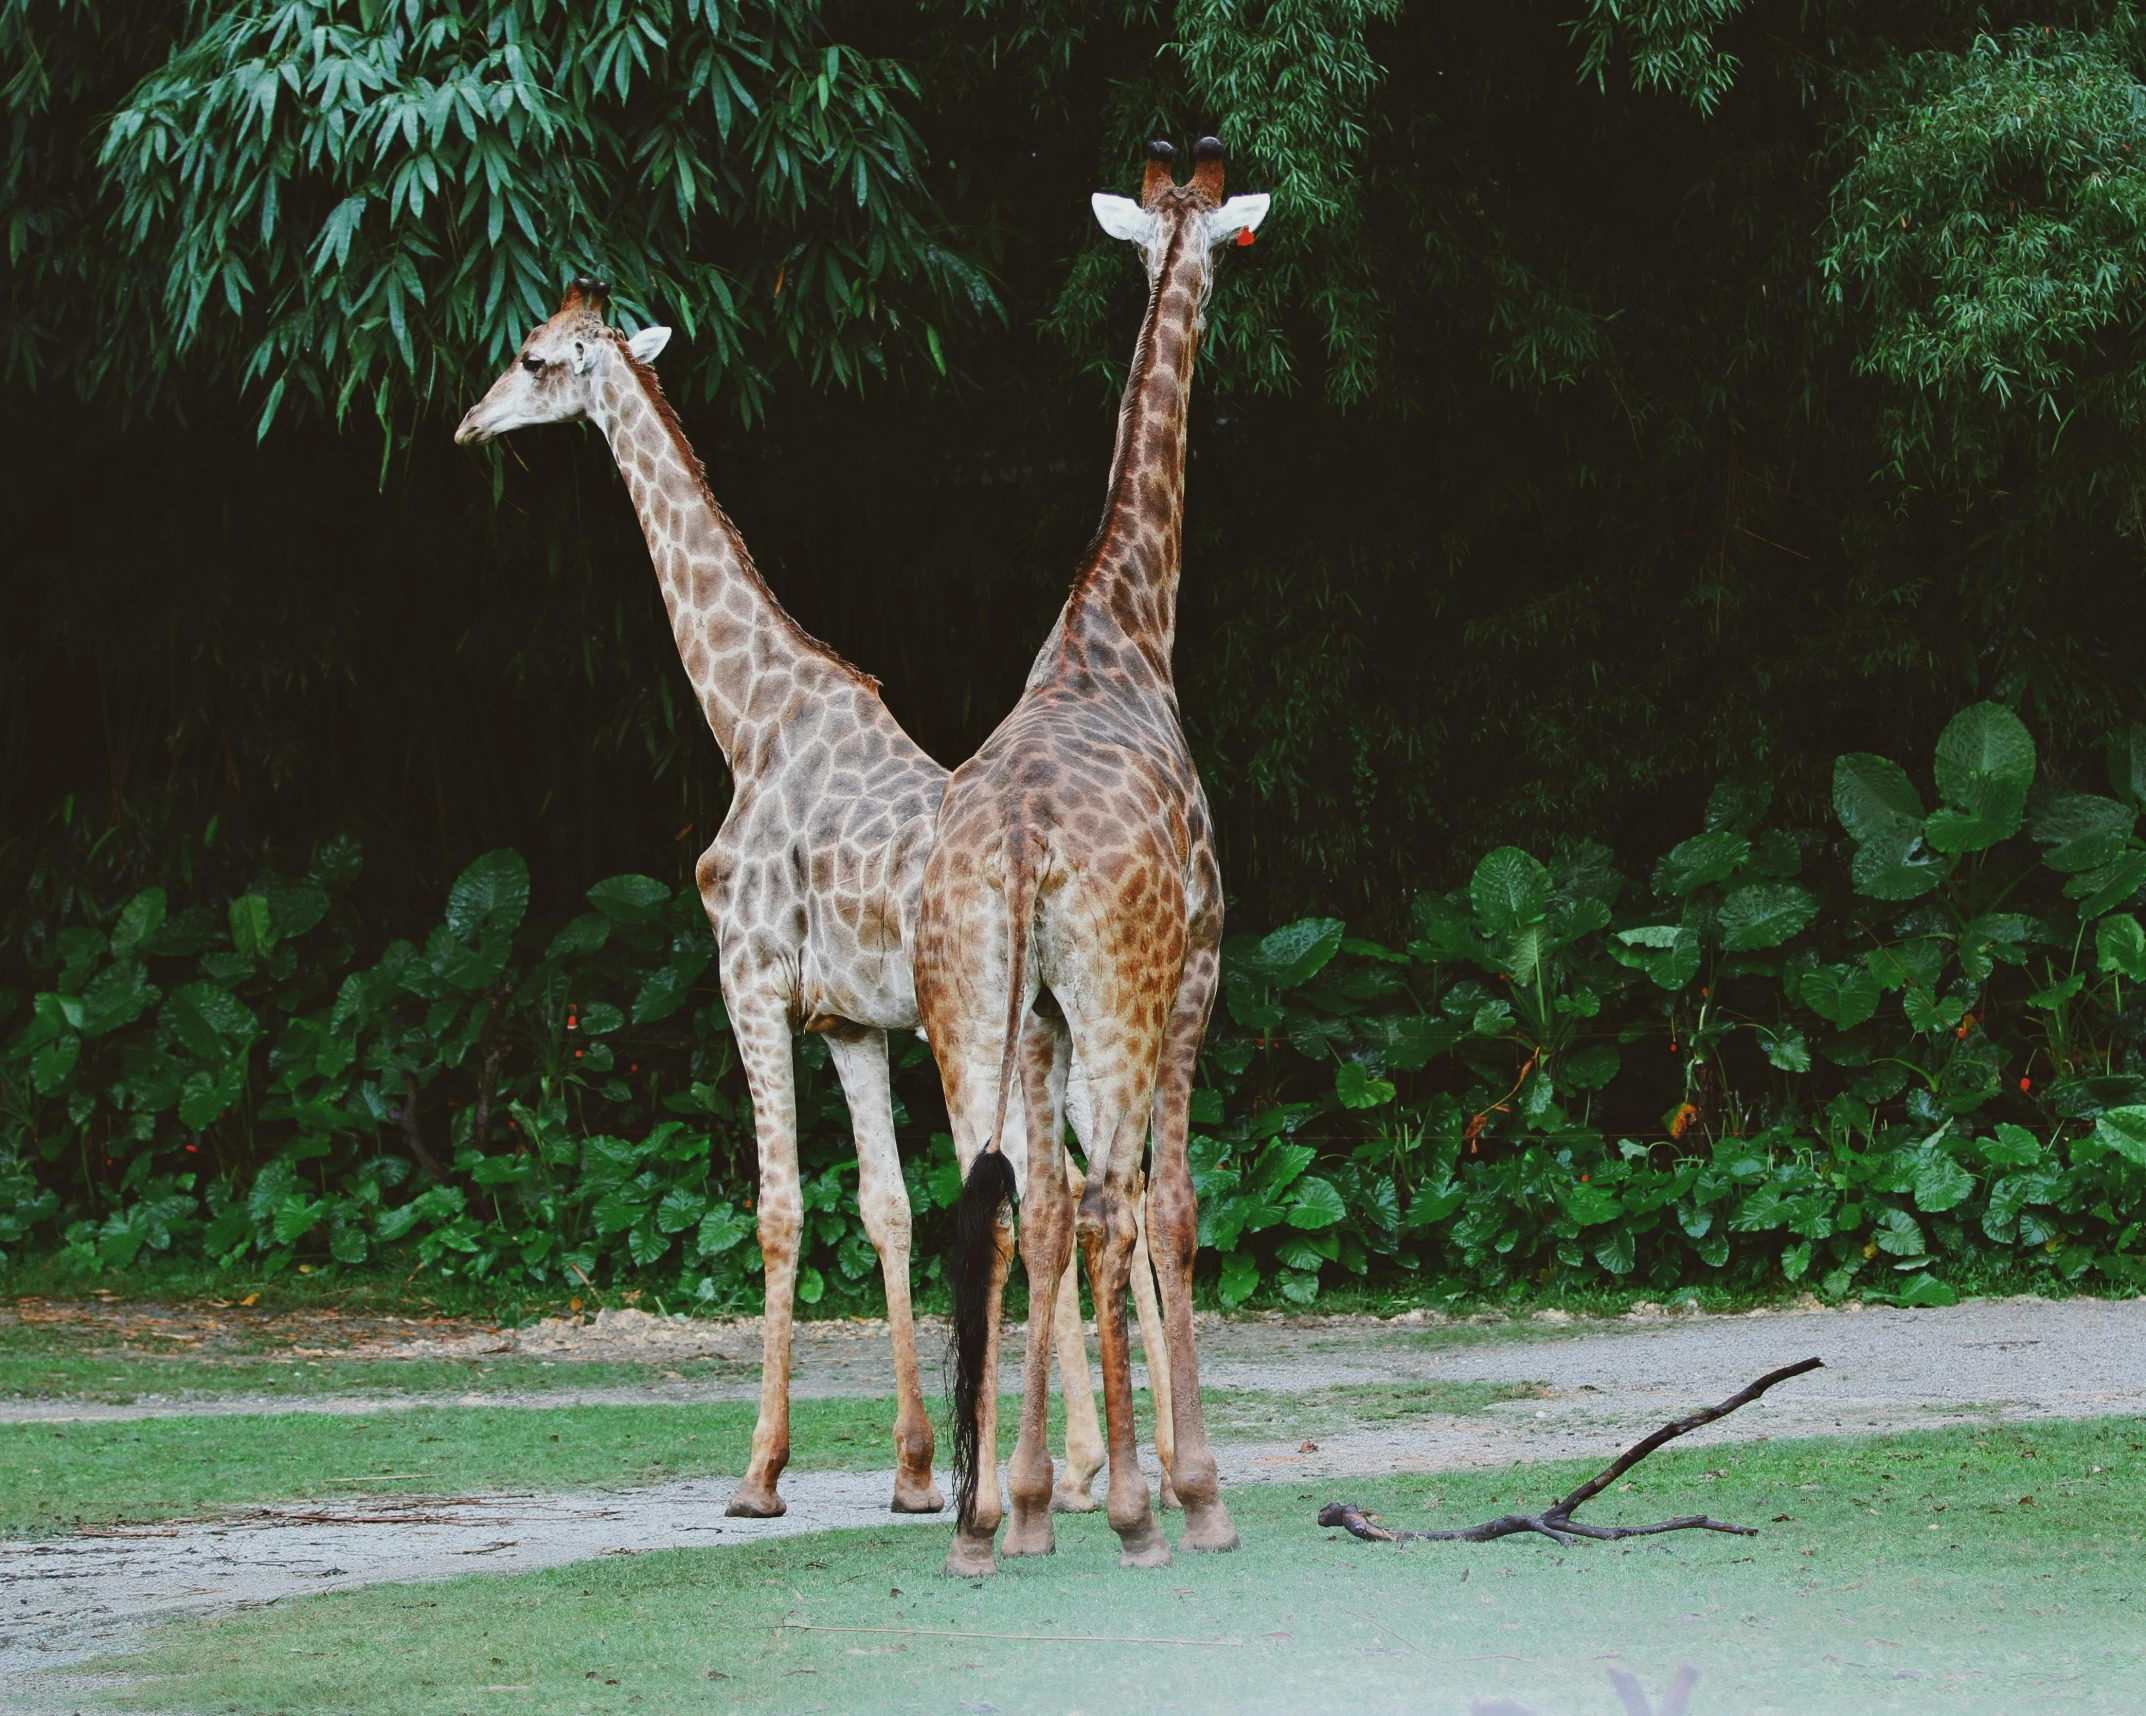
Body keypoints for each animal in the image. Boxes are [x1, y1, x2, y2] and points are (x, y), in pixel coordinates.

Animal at [442, 278, 1167, 1518]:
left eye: (532, 358)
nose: (466, 424)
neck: (749, 721)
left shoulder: (750, 976)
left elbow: (780, 1210)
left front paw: (761, 1471)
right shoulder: (846, 1022)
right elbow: (886, 1207)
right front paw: (913, 1469)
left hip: (988, 1026)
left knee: (1053, 1190)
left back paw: (1071, 1467)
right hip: (1070, 1024)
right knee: (1109, 1184)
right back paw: (1138, 1460)